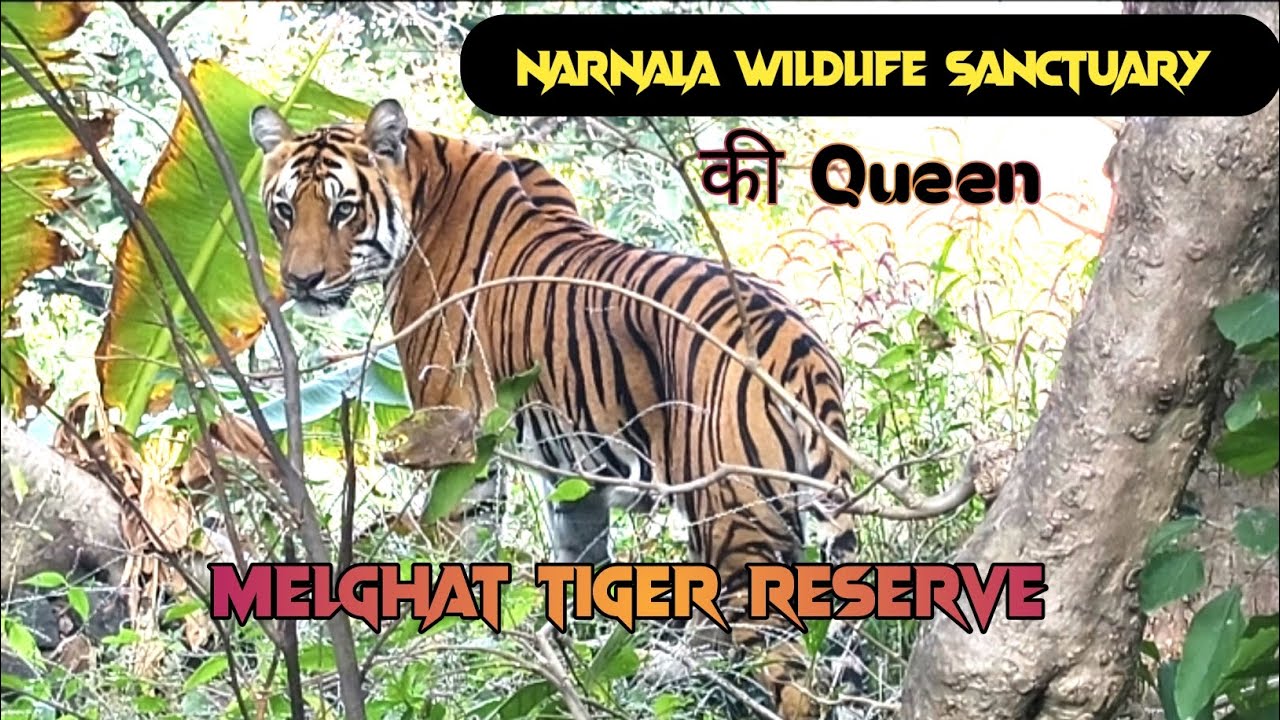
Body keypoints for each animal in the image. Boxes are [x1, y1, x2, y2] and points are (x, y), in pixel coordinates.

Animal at [250, 99, 858, 719]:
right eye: (284, 210)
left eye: (343, 209)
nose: (301, 282)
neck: (423, 186)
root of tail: (798, 344)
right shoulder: (572, 472)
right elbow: (579, 564)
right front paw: (581, 663)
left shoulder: (453, 439)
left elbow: (462, 557)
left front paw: (465, 655)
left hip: (736, 528)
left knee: (796, 681)